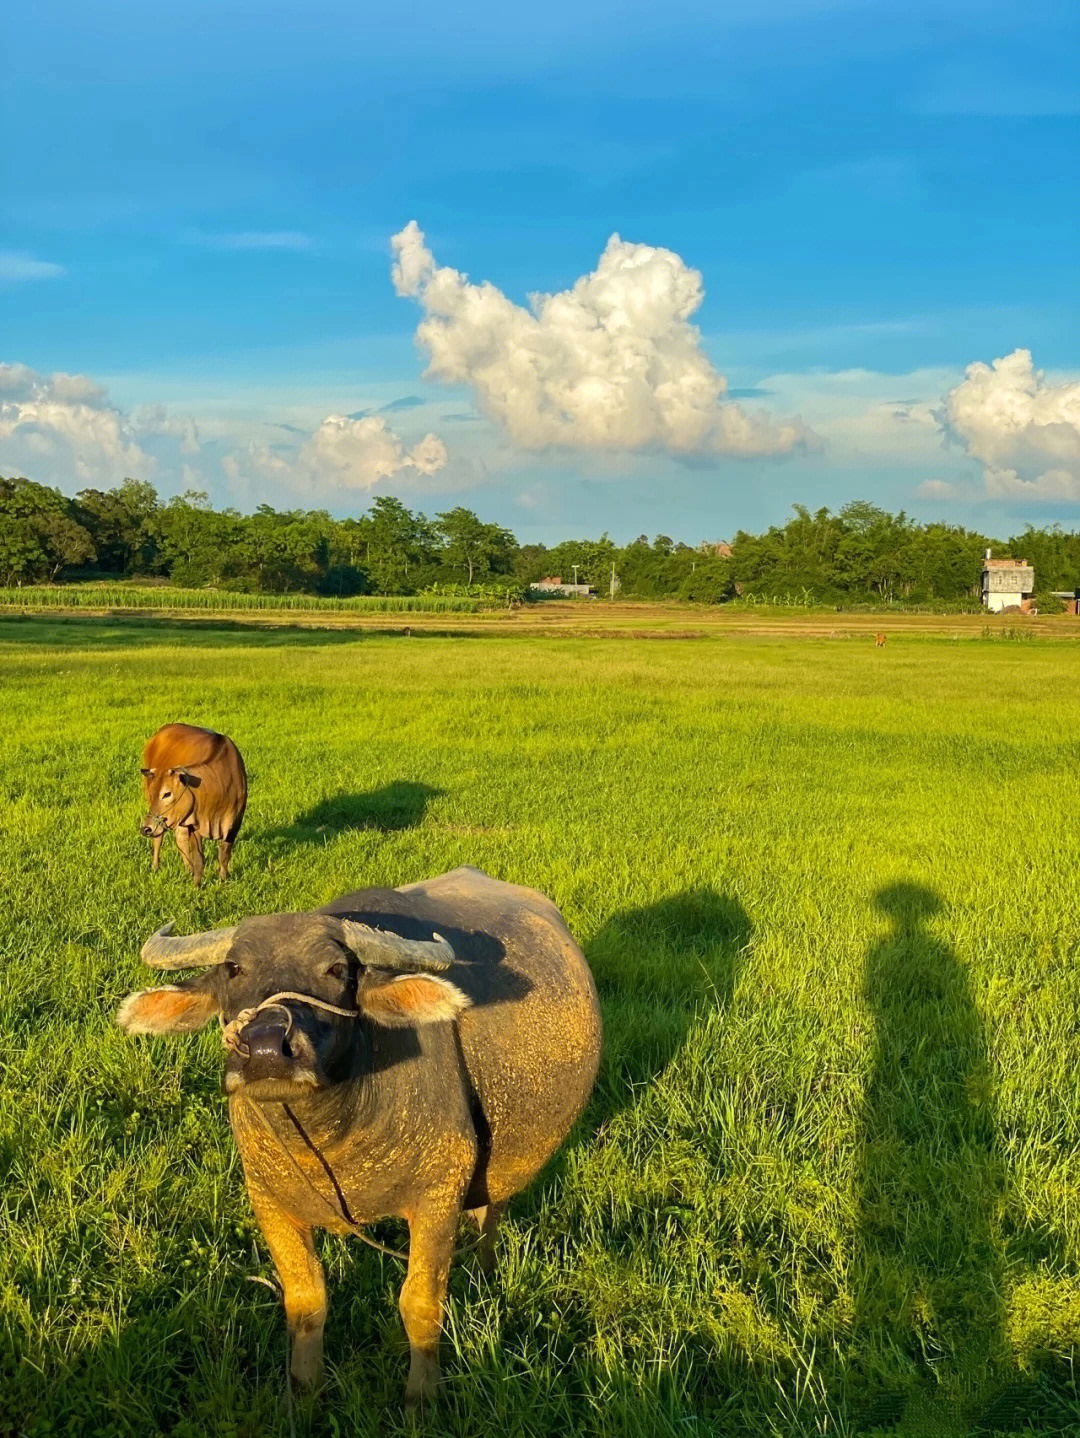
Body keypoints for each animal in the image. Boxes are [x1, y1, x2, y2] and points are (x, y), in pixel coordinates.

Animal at [115, 862, 603, 1403]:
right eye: (234, 969)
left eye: (335, 970)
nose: (265, 1049)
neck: (333, 1138)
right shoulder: (269, 1201)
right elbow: (306, 1303)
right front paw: (303, 1396)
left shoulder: (439, 1195)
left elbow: (420, 1306)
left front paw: (420, 1399)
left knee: (489, 1216)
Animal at [139, 724, 247, 880]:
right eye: (154, 793)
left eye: (167, 794)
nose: (145, 828)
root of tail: (163, 730)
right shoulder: (195, 824)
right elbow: (199, 859)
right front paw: (197, 884)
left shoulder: (236, 821)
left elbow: (224, 855)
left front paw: (223, 879)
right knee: (158, 836)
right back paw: (155, 866)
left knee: (180, 838)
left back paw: (187, 870)